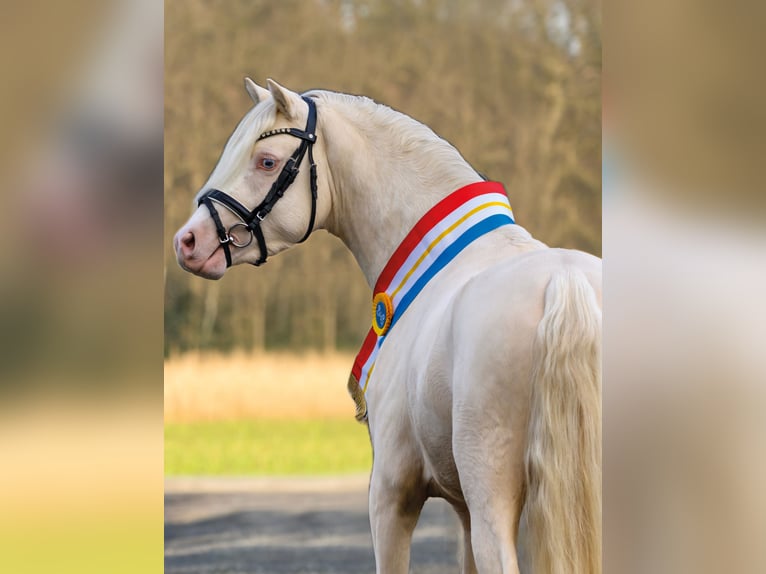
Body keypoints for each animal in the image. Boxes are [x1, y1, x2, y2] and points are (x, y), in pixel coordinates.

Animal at [174, 77, 600, 574]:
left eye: (267, 161)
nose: (188, 241)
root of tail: (565, 283)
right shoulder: (461, 510)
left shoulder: (392, 492)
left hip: (490, 502)